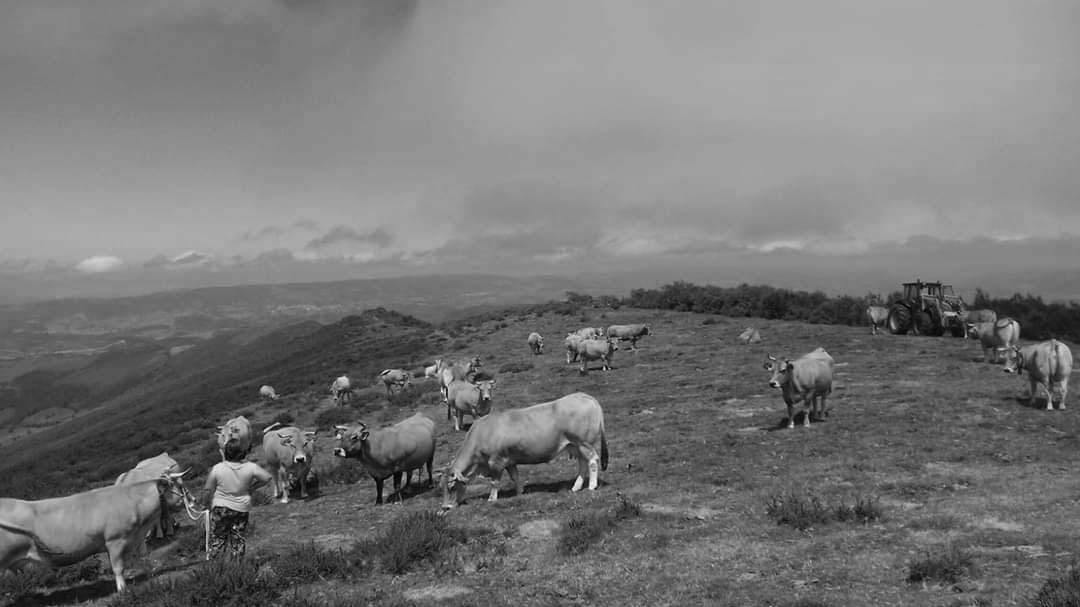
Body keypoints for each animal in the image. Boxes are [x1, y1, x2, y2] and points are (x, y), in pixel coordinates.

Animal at [438, 386, 609, 505]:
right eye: (441, 488)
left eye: (451, 487)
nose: (446, 507)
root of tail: (583, 395)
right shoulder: (510, 461)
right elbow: (515, 477)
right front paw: (520, 492)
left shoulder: (496, 462)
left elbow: (494, 482)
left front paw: (492, 498)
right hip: (575, 445)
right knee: (582, 463)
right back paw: (576, 486)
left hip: (584, 442)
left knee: (592, 460)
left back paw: (592, 486)